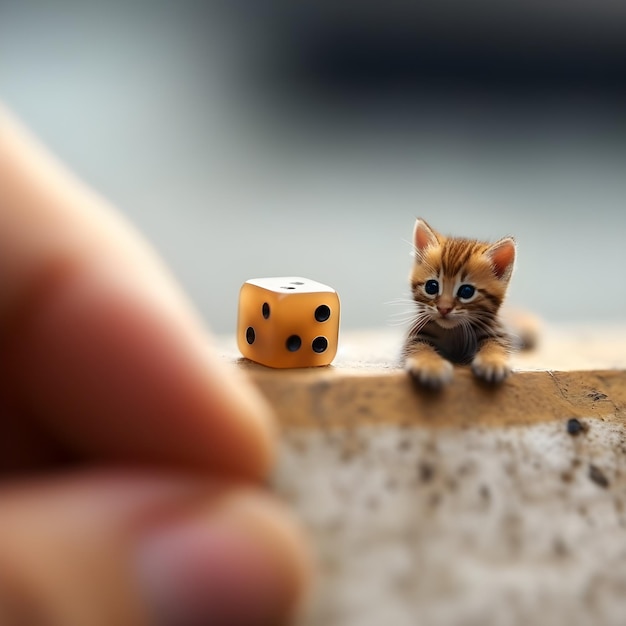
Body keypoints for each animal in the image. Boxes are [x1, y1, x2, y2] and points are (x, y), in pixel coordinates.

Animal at [402, 219, 516, 386]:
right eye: (431, 287)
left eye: (466, 291)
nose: (443, 308)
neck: (453, 332)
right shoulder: (416, 335)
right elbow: (419, 347)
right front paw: (430, 365)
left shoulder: (497, 330)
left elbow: (496, 344)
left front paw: (493, 361)